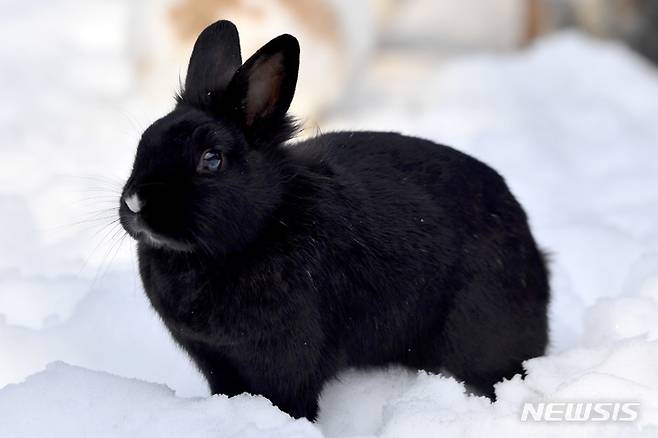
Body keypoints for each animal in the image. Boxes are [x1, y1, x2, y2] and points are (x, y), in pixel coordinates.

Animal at [119, 21, 548, 420]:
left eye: (212, 160)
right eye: (144, 142)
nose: (135, 202)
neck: (263, 225)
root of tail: (532, 252)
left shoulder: (288, 357)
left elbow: (290, 400)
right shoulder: (216, 361)